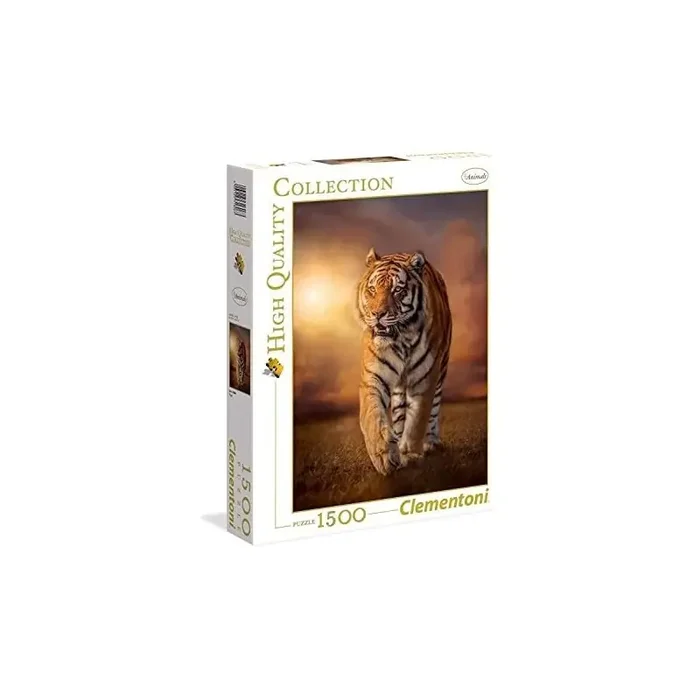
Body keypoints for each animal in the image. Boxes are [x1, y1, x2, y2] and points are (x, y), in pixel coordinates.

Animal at [356, 247, 452, 475]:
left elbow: (418, 419)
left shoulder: (426, 378)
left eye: (397, 290)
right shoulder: (373, 376)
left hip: (441, 369)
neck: (401, 339)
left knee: (433, 409)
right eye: (372, 289)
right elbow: (372, 414)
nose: (378, 314)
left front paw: (410, 452)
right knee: (400, 414)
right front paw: (383, 454)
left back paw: (430, 442)